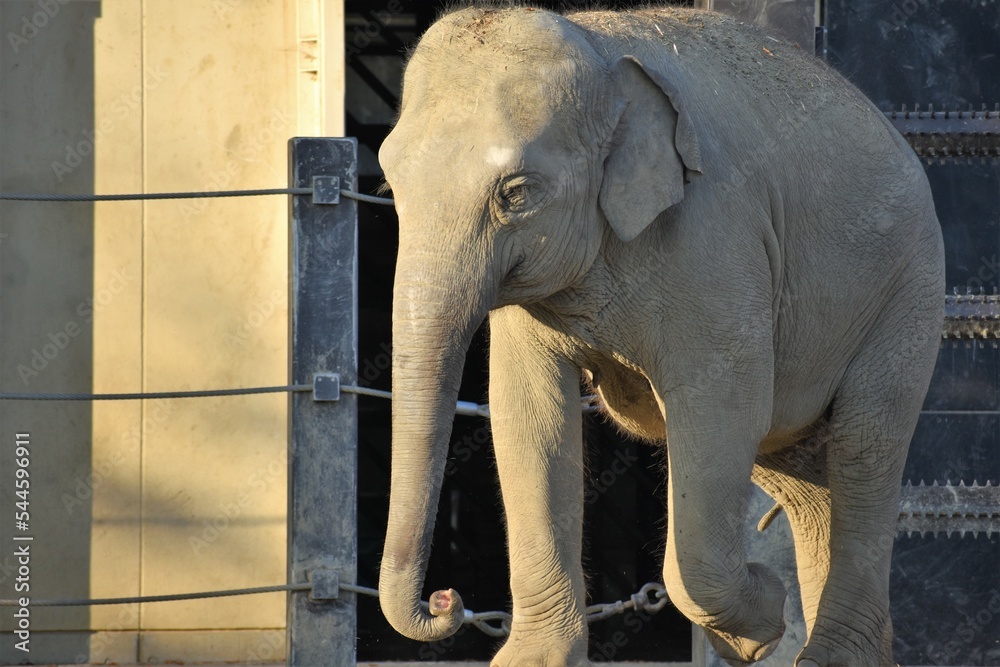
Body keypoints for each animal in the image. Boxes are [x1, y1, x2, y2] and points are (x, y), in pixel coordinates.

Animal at [376, 5, 945, 667]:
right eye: (388, 184)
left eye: (516, 194)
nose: (446, 600)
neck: (598, 48)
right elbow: (530, 417)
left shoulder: (715, 237)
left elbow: (722, 410)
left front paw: (759, 623)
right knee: (802, 475)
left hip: (908, 292)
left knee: (863, 447)